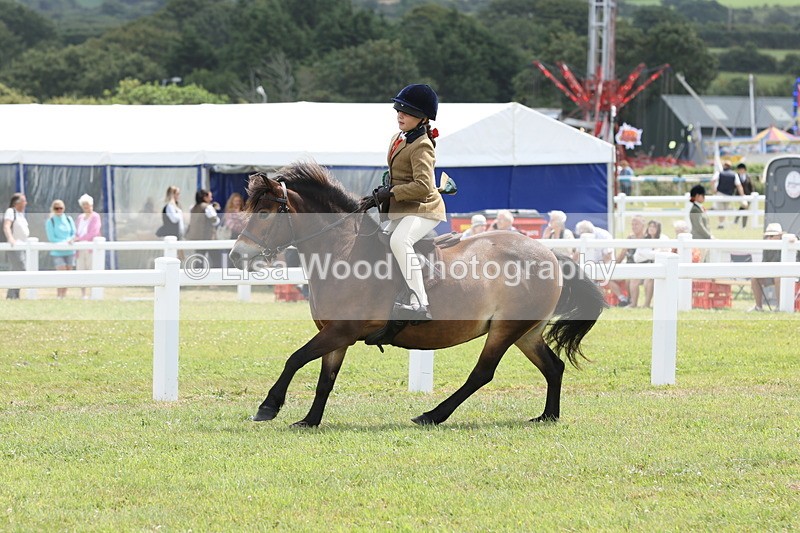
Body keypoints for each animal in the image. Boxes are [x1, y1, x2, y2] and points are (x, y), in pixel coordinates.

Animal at [229, 161, 607, 427]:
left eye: (265, 213)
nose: (236, 256)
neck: (344, 251)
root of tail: (549, 254)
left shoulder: (342, 331)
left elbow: (295, 359)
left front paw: (268, 407)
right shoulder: (335, 334)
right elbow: (325, 379)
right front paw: (309, 420)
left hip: (504, 330)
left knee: (482, 374)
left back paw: (431, 415)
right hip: (525, 332)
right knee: (553, 367)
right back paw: (547, 416)